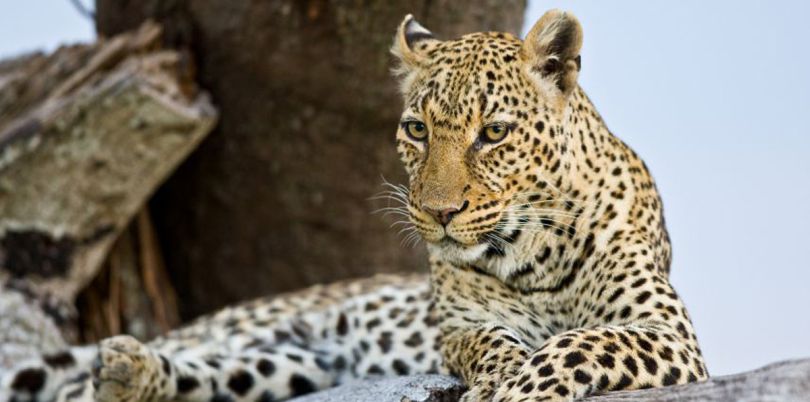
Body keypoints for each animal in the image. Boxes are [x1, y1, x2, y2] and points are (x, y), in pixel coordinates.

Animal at [0, 9, 704, 402]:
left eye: (494, 133)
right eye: (417, 129)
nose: (439, 213)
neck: (534, 250)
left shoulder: (667, 333)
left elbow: (575, 344)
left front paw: (512, 393)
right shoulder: (460, 327)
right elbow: (497, 345)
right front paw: (497, 380)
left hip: (283, 366)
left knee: (207, 377)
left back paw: (128, 373)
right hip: (249, 328)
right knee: (78, 379)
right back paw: (119, 366)